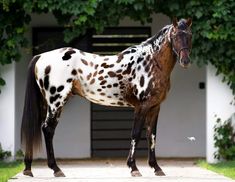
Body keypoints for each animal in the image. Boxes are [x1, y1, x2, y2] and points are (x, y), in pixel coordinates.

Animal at [21, 17, 192, 177]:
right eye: (175, 35)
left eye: (189, 35)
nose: (185, 61)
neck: (151, 62)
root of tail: (41, 56)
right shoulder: (141, 107)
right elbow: (136, 134)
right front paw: (134, 168)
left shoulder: (154, 107)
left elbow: (152, 136)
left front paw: (156, 168)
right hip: (56, 102)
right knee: (47, 129)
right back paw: (56, 169)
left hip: (48, 103)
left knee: (43, 128)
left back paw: (30, 168)